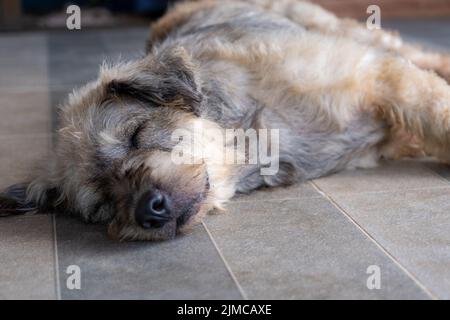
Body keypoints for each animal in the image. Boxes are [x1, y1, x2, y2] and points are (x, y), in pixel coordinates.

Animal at [0, 0, 450, 240]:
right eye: (102, 203)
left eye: (136, 135)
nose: (149, 210)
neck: (253, 138)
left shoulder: (377, 74)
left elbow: (432, 106)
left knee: (418, 53)